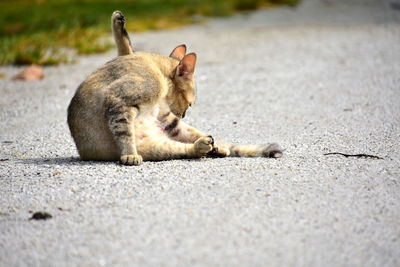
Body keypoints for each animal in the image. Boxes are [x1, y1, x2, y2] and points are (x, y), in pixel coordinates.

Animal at [67, 11, 282, 165]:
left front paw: (119, 23)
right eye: (190, 104)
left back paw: (215, 147)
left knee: (195, 138)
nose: (184, 114)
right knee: (186, 148)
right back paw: (205, 146)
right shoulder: (118, 100)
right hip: (160, 140)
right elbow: (124, 133)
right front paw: (129, 154)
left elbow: (125, 43)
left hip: (171, 124)